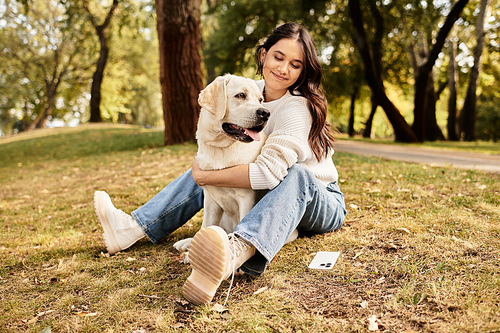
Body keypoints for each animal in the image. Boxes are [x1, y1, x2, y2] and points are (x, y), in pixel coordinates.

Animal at [174, 74, 296, 260]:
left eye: (260, 100)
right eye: (240, 95)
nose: (265, 113)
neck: (220, 147)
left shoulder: (245, 197)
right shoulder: (210, 199)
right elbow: (205, 225)